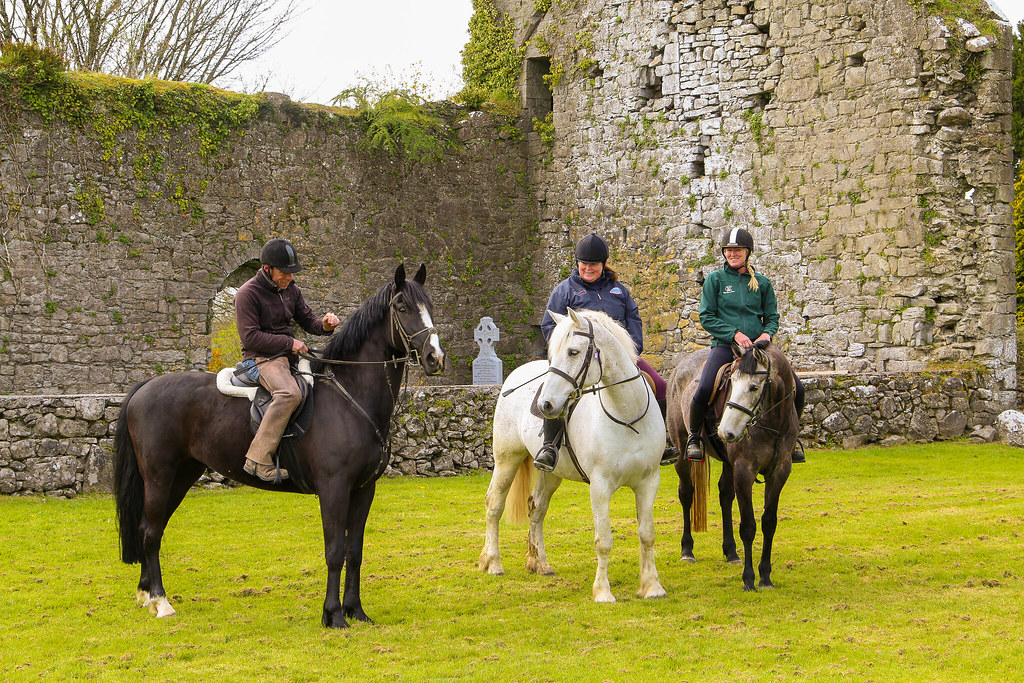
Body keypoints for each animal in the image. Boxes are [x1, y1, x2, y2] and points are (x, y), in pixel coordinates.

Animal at [113, 264, 445, 628]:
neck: (350, 397)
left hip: (181, 476)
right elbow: (335, 552)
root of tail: (145, 386)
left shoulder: (363, 489)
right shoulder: (334, 489)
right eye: (402, 308)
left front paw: (355, 611)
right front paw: (333, 615)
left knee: (150, 528)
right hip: (159, 477)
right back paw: (161, 602)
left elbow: (354, 551)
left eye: (430, 306)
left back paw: (147, 594)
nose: (435, 358)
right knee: (151, 532)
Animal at [479, 308, 666, 602]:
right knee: (494, 504)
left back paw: (539, 563)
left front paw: (652, 587)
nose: (546, 405)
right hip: (506, 459)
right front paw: (603, 592)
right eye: (553, 353)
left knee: (537, 507)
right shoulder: (600, 487)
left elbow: (647, 534)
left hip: (551, 473)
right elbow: (603, 541)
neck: (628, 417)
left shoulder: (649, 482)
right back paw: (493, 563)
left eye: (573, 352)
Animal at [666, 341, 797, 591]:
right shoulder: (744, 470)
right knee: (686, 494)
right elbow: (748, 526)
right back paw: (687, 550)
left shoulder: (780, 472)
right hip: (682, 453)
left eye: (754, 387)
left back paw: (731, 552)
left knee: (725, 495)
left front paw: (765, 577)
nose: (725, 432)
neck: (771, 423)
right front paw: (749, 579)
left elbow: (769, 522)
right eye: (732, 383)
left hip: (729, 464)